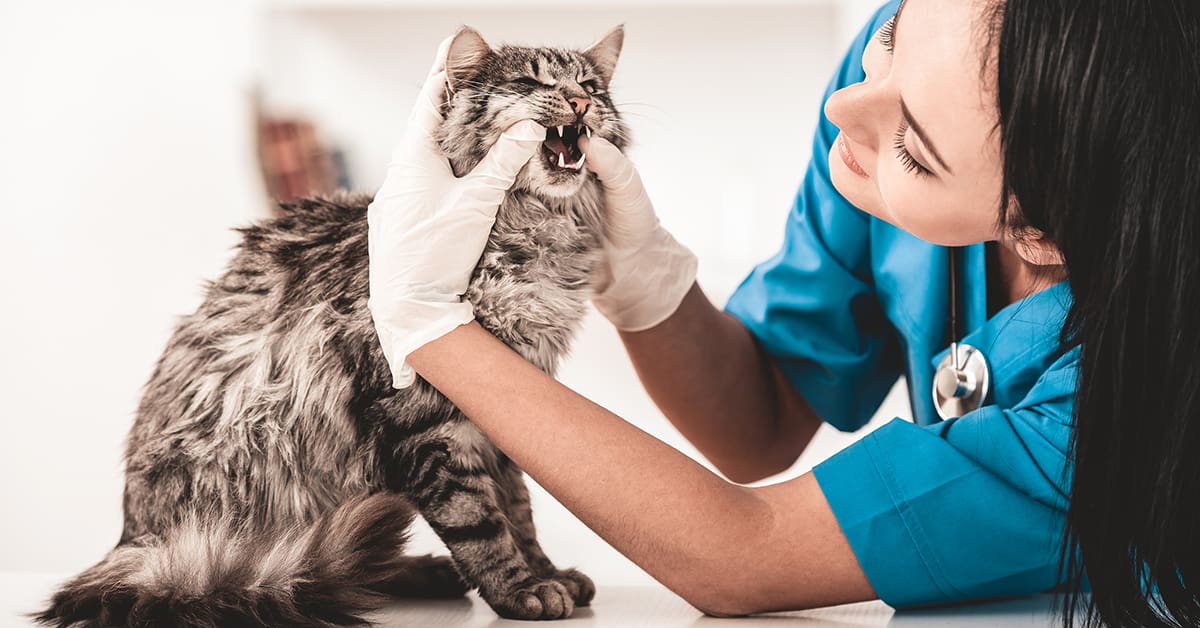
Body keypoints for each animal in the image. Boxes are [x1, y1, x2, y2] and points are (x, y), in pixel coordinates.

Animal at [32, 24, 633, 628]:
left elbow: (519, 510)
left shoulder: (504, 411)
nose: (581, 104)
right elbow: (480, 520)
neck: (536, 237)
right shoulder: (426, 422)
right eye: (533, 82)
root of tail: (133, 552)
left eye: (589, 86)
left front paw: (548, 573)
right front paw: (519, 589)